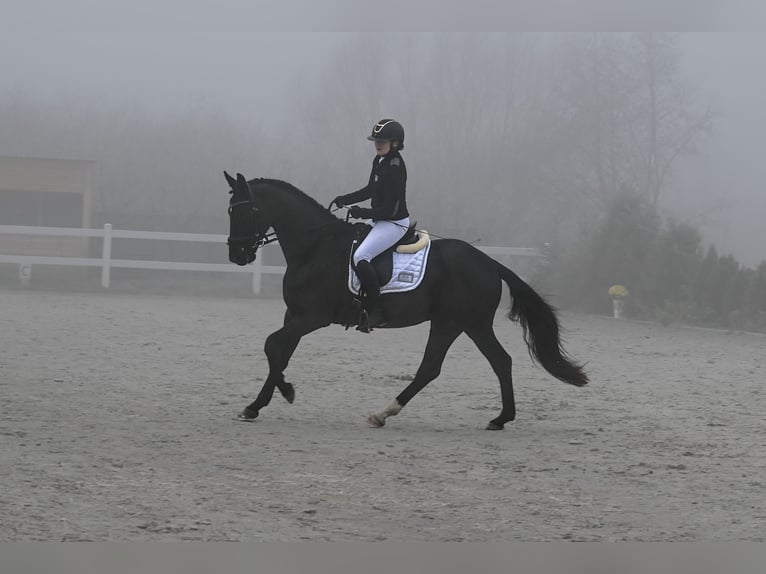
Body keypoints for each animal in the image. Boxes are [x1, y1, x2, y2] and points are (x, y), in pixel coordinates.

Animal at [225, 171, 588, 430]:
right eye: (230, 211)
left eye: (248, 211)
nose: (237, 256)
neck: (315, 247)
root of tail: (489, 262)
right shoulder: (295, 315)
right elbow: (279, 352)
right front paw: (256, 405)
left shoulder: (312, 317)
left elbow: (272, 345)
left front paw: (284, 393)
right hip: (472, 324)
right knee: (500, 361)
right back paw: (501, 419)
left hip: (451, 322)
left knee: (431, 367)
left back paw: (383, 413)